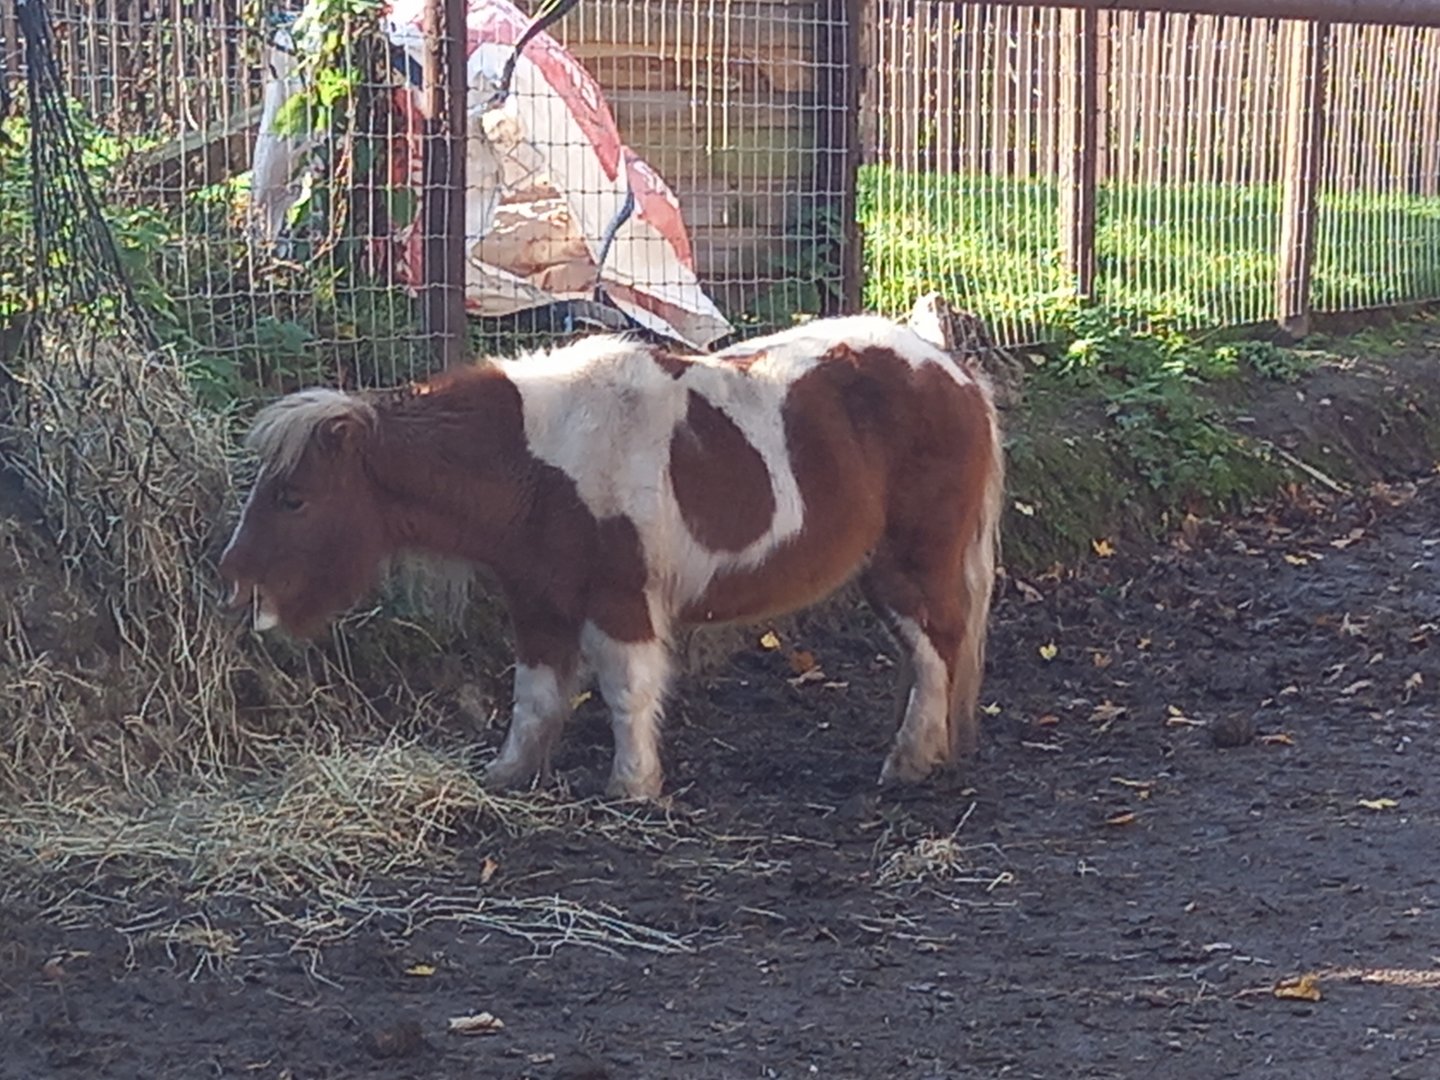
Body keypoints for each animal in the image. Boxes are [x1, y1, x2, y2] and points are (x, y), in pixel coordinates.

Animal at [218, 313, 1005, 800]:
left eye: (293, 498)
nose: (234, 584)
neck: (537, 463)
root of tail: (952, 369)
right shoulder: (537, 605)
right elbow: (535, 698)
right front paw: (509, 774)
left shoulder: (620, 602)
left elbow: (627, 692)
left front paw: (632, 786)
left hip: (914, 564)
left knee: (937, 647)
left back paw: (909, 761)